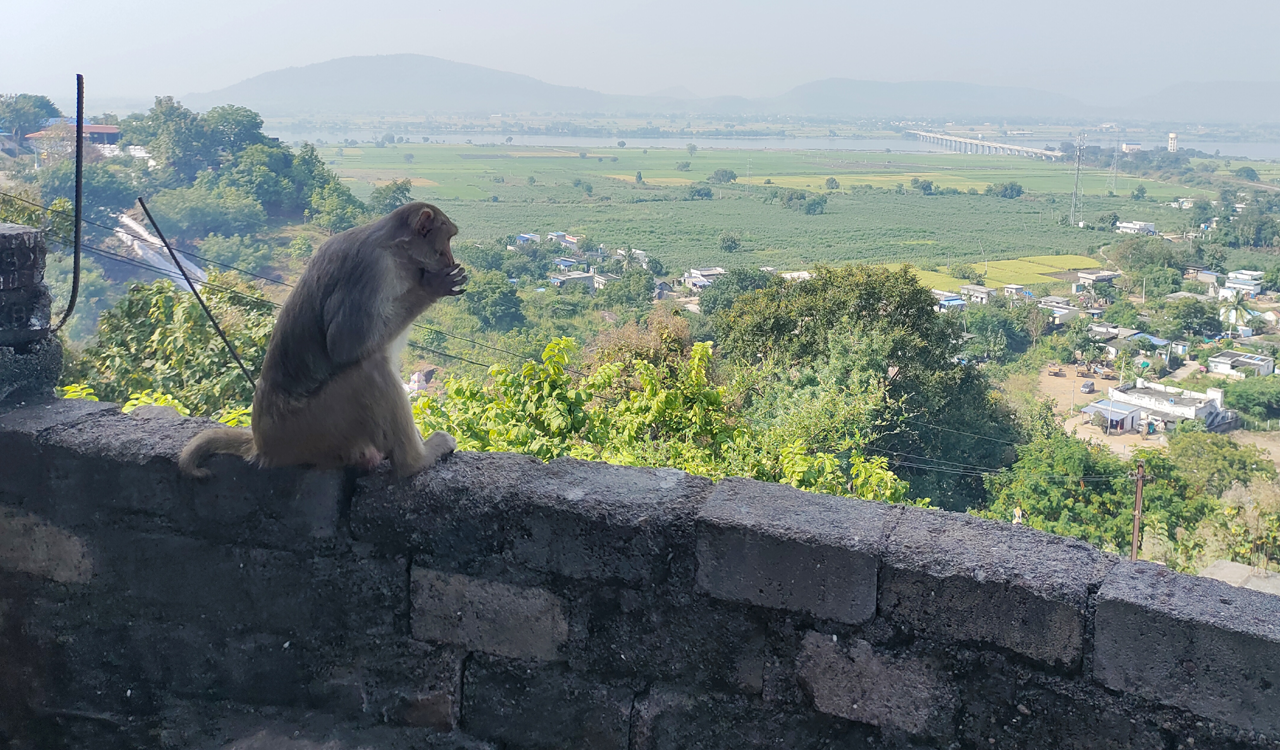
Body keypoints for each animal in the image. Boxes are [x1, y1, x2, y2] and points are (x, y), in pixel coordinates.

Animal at [179, 202, 467, 479]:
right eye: (447, 240)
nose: (451, 258)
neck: (399, 254)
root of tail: (262, 444)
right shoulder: (373, 269)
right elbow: (345, 343)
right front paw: (430, 287)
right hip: (310, 429)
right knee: (370, 370)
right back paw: (416, 461)